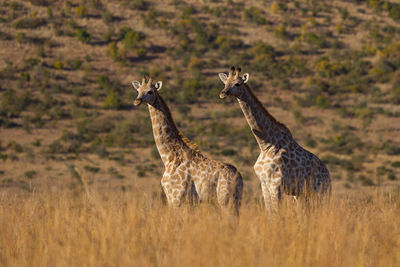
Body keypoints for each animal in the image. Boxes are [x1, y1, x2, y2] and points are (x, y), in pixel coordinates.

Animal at [133, 76, 242, 215]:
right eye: (138, 90)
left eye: (150, 91)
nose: (137, 101)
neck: (169, 157)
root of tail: (239, 177)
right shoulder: (176, 199)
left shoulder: (177, 198)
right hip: (236, 200)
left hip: (225, 200)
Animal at [219, 66, 332, 209]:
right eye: (225, 82)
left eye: (238, 83)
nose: (223, 93)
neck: (265, 144)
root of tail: (328, 175)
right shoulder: (264, 185)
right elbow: (269, 212)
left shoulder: (276, 185)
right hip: (301, 195)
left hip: (321, 193)